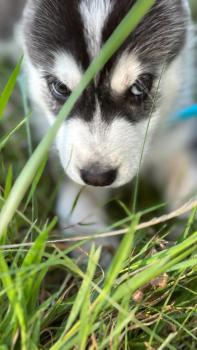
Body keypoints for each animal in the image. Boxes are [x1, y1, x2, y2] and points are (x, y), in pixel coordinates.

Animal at [19, 0, 196, 252]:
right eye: (60, 88)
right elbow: (78, 209)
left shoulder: (176, 135)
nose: (97, 177)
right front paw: (97, 250)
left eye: (139, 86)